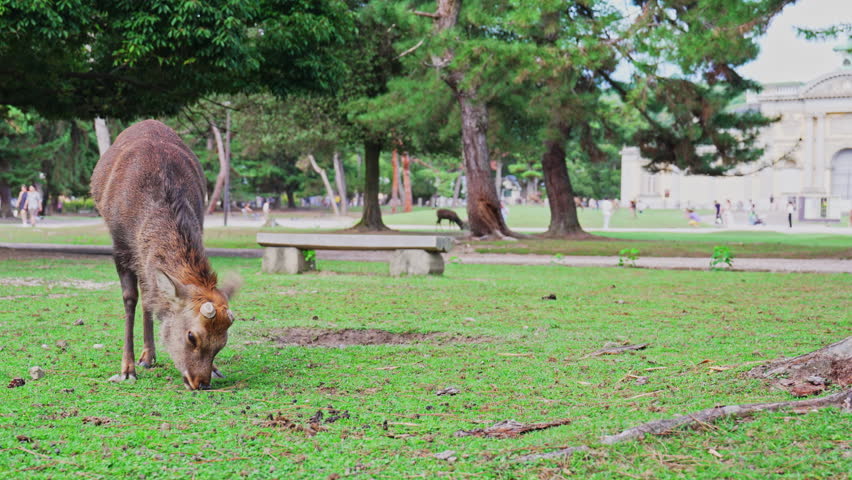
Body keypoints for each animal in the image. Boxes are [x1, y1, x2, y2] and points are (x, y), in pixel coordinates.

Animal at [90, 120, 239, 390]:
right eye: (191, 336)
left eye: (222, 343)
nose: (200, 383)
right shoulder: (120, 245)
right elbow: (130, 299)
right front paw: (126, 369)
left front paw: (216, 370)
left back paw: (149, 356)